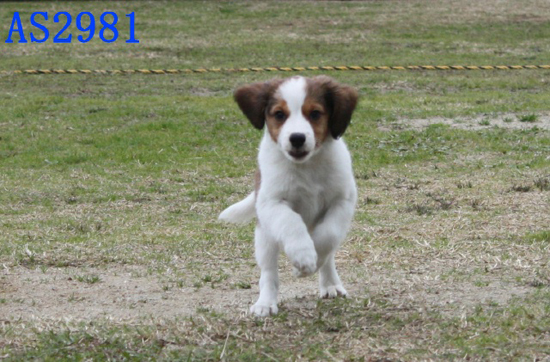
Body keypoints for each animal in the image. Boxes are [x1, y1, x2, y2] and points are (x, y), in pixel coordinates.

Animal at [220, 76, 362, 316]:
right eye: (279, 114)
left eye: (315, 113)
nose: (297, 138)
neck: (307, 167)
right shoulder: (271, 203)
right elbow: (291, 221)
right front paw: (303, 256)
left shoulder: (342, 200)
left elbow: (328, 235)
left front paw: (308, 264)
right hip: (264, 237)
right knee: (269, 273)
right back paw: (265, 303)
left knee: (329, 255)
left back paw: (330, 284)